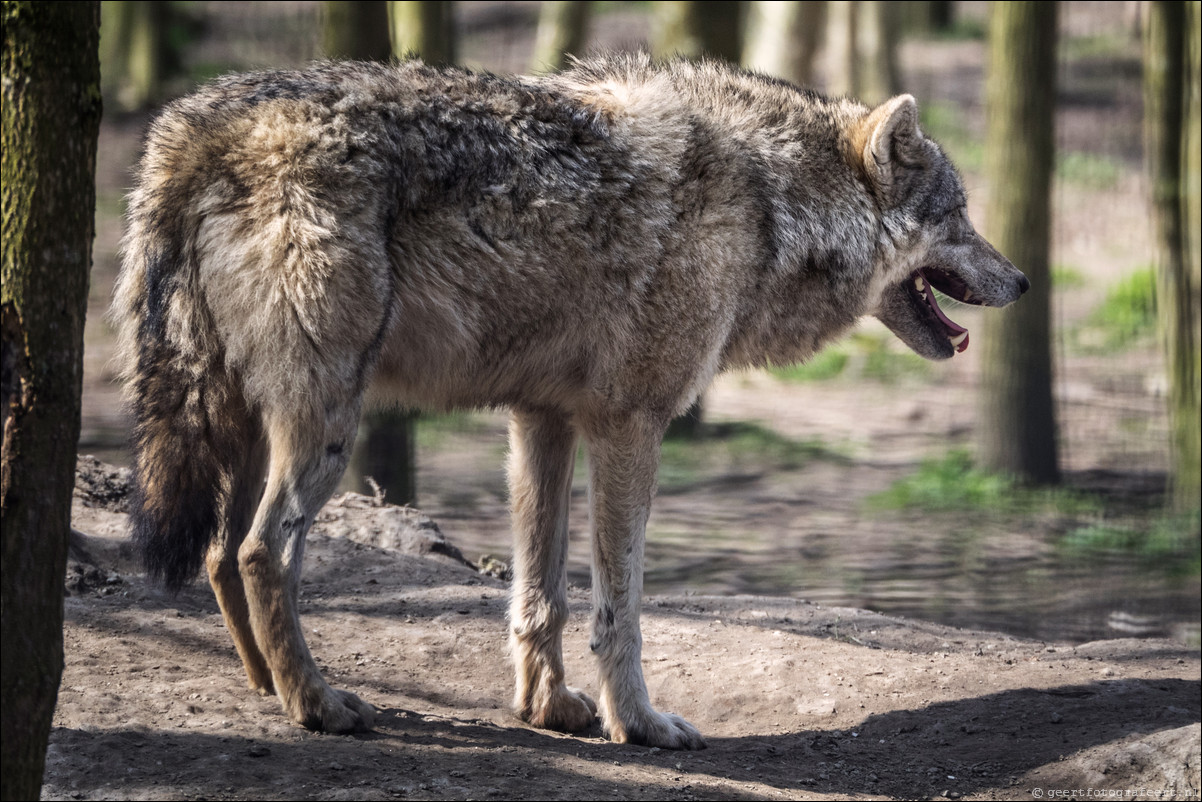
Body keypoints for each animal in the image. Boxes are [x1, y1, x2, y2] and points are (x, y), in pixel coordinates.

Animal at [114, 53, 1024, 750]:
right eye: (959, 215)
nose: (1020, 280)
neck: (772, 203)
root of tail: (192, 127)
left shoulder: (540, 420)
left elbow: (539, 593)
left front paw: (548, 708)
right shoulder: (631, 424)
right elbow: (619, 603)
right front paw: (641, 723)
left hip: (248, 422)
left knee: (218, 553)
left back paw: (268, 684)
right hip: (326, 426)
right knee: (262, 551)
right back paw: (317, 704)